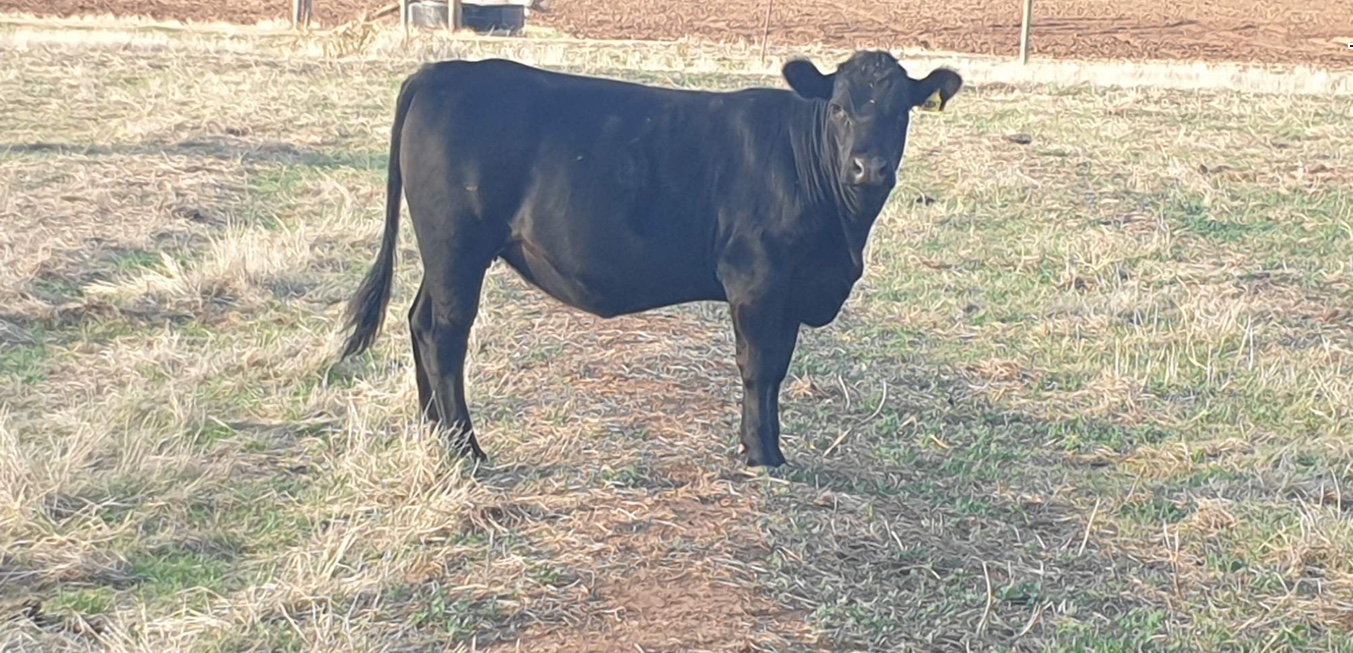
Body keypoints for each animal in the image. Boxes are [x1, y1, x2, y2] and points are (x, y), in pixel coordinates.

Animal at [339, 50, 963, 468]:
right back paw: (466, 448)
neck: (844, 233)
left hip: (444, 255)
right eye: (838, 108)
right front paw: (763, 455)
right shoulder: (758, 280)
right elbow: (761, 368)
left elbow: (776, 369)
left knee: (420, 321)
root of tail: (441, 71)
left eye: (903, 112)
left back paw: (434, 432)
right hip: (456, 246)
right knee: (446, 334)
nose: (868, 166)